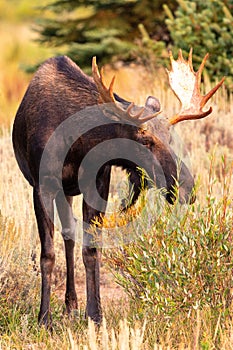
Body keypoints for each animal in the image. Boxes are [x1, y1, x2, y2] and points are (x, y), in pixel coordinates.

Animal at [12, 50, 224, 328]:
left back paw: (71, 305)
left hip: (68, 192)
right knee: (66, 236)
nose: (187, 188)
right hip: (58, 190)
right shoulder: (41, 185)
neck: (77, 144)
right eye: (145, 140)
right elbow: (47, 254)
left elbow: (91, 250)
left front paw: (95, 314)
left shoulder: (98, 180)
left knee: (70, 235)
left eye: (170, 137)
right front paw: (43, 318)